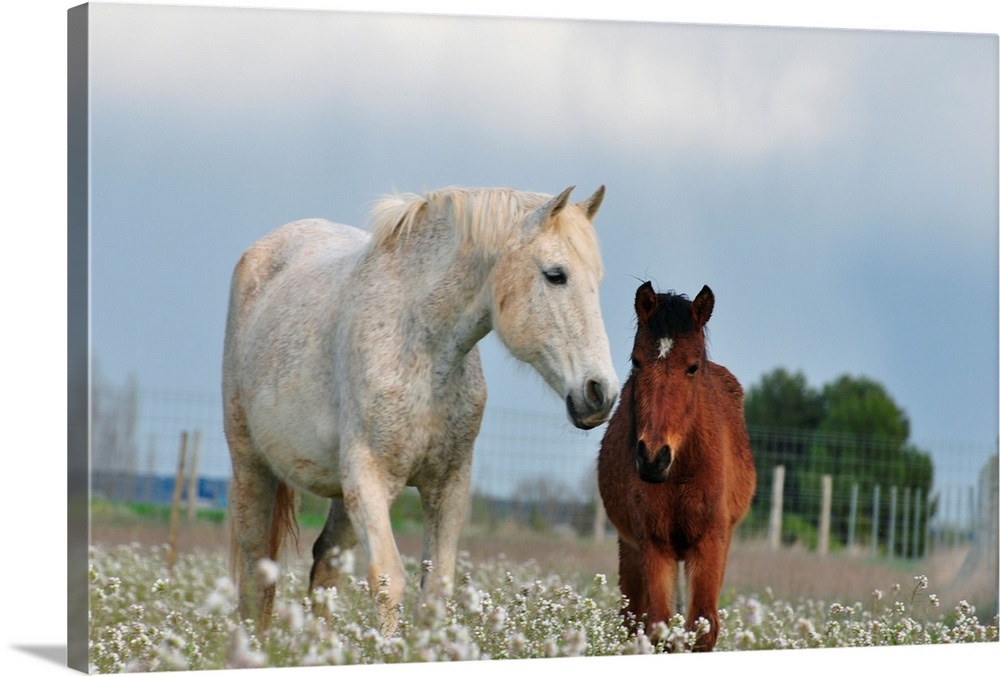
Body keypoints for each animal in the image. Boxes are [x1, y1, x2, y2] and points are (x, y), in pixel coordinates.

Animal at [223, 184, 620, 628]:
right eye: (555, 275)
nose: (600, 392)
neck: (420, 347)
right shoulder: (368, 478)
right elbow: (388, 580)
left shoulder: (448, 485)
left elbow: (435, 589)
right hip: (251, 466)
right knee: (257, 573)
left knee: (324, 567)